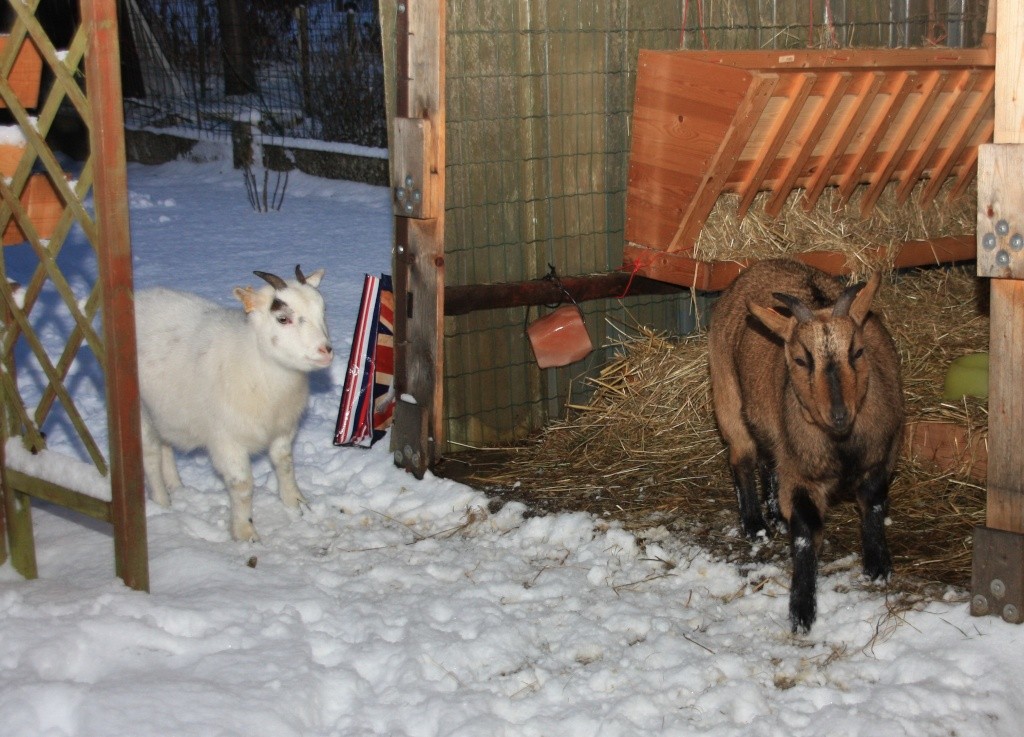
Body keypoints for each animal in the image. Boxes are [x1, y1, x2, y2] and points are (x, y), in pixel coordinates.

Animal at [134, 266, 333, 540]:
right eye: (283, 319)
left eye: (322, 311)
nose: (326, 351)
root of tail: (140, 296)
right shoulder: (226, 440)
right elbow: (242, 485)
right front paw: (244, 532)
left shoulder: (283, 429)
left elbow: (284, 464)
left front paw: (296, 503)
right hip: (141, 409)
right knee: (151, 455)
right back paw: (163, 503)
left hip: (165, 410)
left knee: (165, 446)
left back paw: (177, 487)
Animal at [708, 258, 901, 634]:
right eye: (800, 359)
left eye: (858, 351)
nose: (839, 414)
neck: (840, 445)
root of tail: (762, 265)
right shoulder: (801, 476)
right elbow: (806, 529)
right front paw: (801, 611)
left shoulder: (880, 457)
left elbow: (873, 504)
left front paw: (877, 567)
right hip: (726, 394)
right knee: (742, 457)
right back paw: (756, 526)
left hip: (772, 424)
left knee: (769, 461)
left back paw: (772, 515)